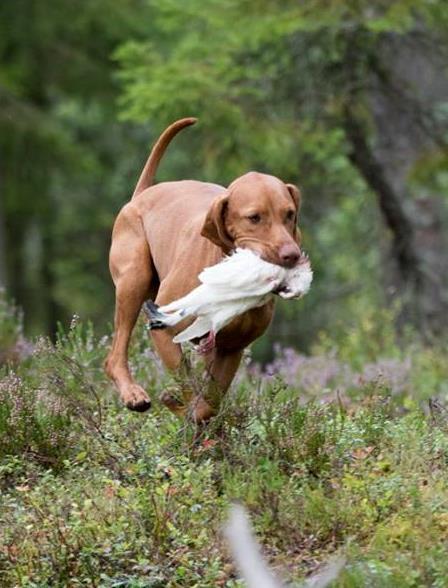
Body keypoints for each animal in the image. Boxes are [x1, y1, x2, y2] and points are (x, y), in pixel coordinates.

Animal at [104, 118, 300, 422]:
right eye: (254, 218)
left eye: (289, 214)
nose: (292, 255)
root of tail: (142, 195)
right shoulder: (164, 331)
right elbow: (188, 386)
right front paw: (178, 403)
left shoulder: (231, 349)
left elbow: (209, 401)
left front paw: (192, 412)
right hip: (133, 280)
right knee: (115, 356)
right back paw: (132, 393)